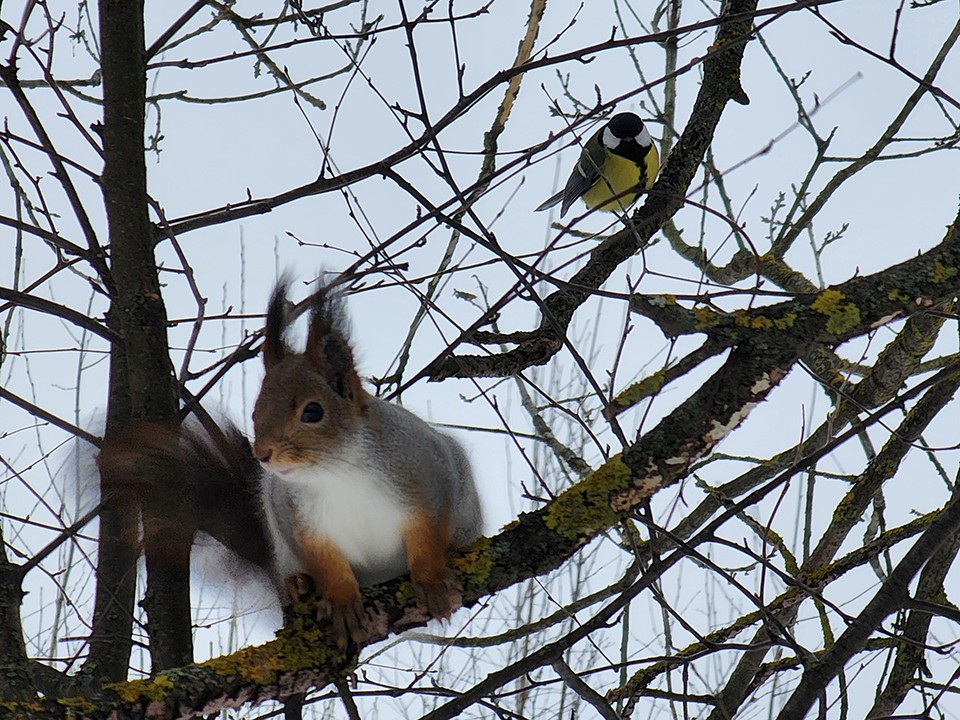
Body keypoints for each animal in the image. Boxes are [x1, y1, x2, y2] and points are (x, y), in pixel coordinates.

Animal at [101, 276, 484, 648]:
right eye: (256, 412)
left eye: (313, 412)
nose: (263, 453)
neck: (337, 473)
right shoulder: (298, 521)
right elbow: (328, 563)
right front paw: (342, 600)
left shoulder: (429, 477)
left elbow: (428, 534)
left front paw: (430, 578)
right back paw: (300, 585)